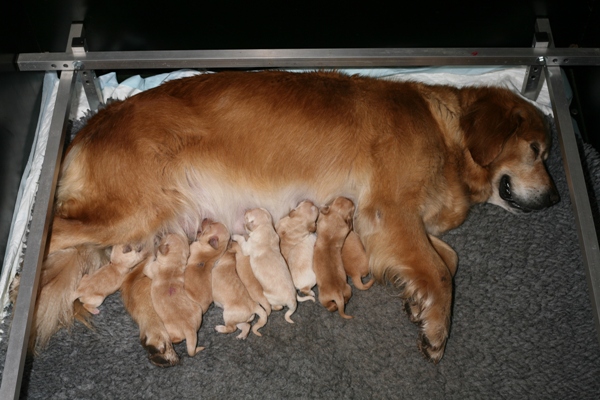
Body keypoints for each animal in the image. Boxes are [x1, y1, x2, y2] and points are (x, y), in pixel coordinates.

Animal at [31, 70, 556, 364]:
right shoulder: (387, 211)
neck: (445, 130)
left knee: (132, 284)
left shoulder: (397, 225)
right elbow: (442, 273)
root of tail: (91, 123)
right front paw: (436, 327)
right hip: (132, 211)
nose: (555, 200)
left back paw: (158, 339)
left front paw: (417, 301)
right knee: (51, 236)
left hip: (154, 233)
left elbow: (447, 260)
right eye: (536, 150)